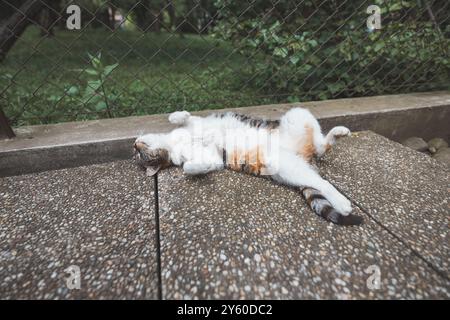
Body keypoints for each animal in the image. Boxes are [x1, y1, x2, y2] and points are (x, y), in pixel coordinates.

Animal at [134, 107, 362, 225]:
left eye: (139, 153)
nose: (134, 144)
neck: (173, 144)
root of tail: (304, 157)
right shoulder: (213, 157)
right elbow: (191, 166)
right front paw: (195, 168)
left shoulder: (195, 123)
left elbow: (182, 117)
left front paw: (176, 115)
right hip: (284, 165)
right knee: (320, 176)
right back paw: (342, 202)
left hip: (296, 113)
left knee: (320, 147)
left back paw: (339, 133)